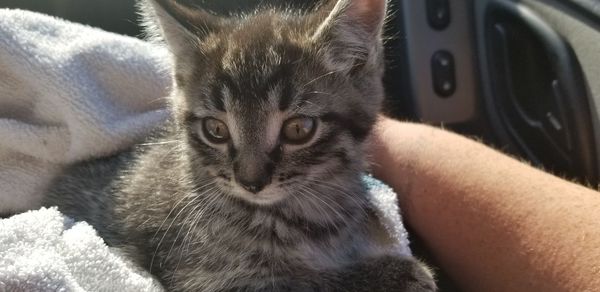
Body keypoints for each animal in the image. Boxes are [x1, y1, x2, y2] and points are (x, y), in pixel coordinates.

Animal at [43, 0, 436, 290]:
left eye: (298, 129)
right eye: (216, 129)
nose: (251, 182)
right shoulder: (201, 276)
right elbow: (301, 281)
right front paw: (399, 273)